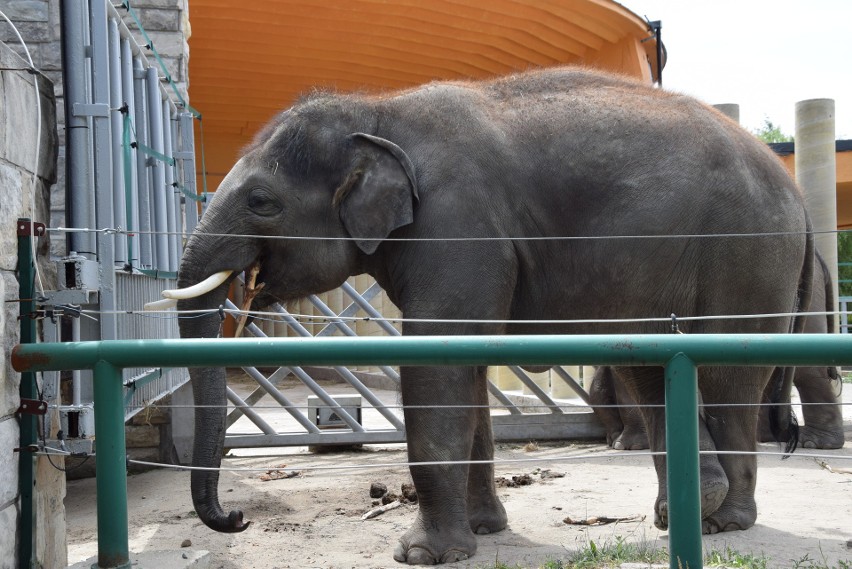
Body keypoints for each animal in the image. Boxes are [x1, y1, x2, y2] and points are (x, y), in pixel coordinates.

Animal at [165, 66, 812, 564]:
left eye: (261, 202)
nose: (237, 517)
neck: (378, 112)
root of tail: (796, 193)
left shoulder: (458, 225)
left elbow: (436, 363)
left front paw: (423, 556)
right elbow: (465, 364)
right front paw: (483, 531)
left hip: (748, 255)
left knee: (728, 375)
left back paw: (725, 521)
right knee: (652, 370)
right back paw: (682, 515)